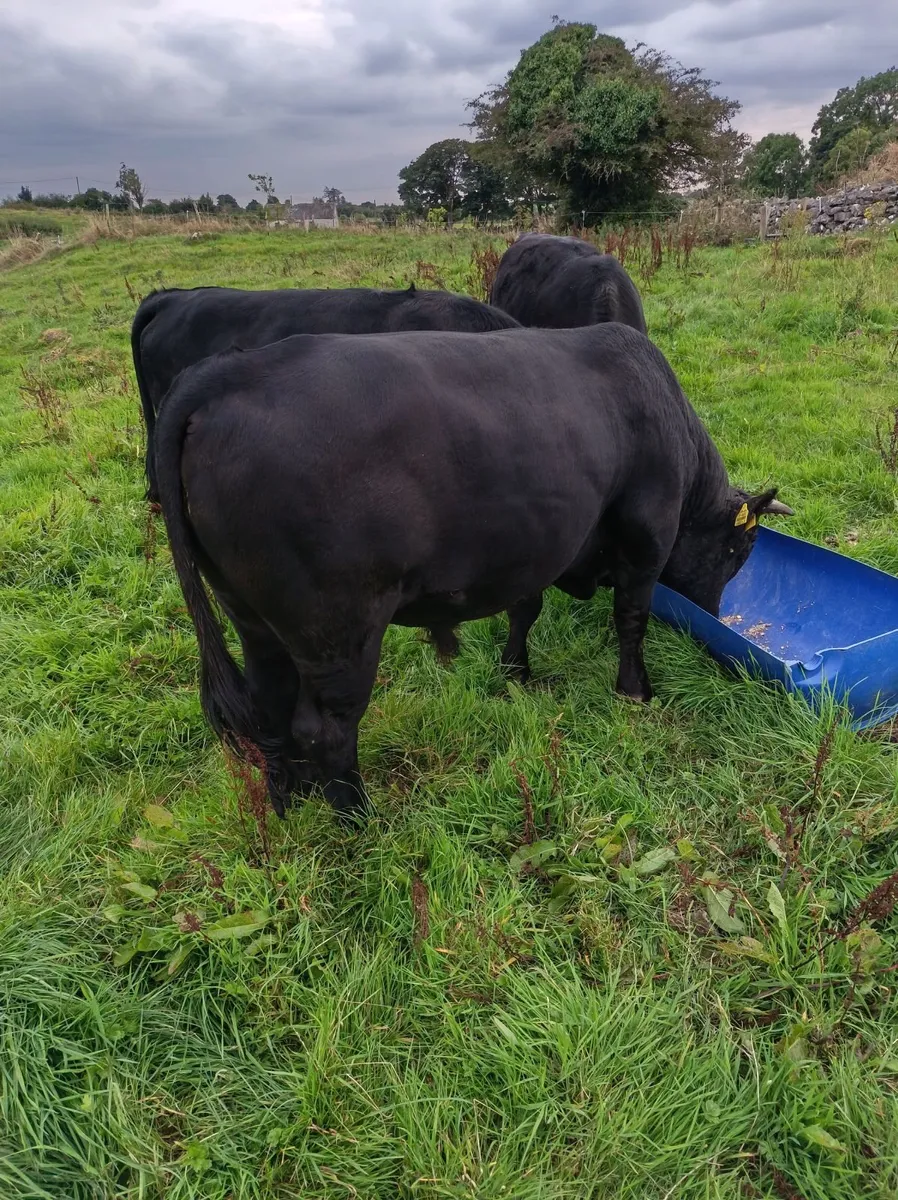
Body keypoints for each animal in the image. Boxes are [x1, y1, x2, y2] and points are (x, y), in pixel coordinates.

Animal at [154, 322, 791, 820]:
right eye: (739, 552)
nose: (717, 614)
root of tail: (226, 373)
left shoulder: (539, 544)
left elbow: (525, 607)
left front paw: (515, 670)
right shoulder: (645, 538)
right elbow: (631, 618)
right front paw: (635, 690)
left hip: (255, 619)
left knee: (270, 707)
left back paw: (290, 801)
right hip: (337, 626)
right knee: (326, 727)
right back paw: (360, 821)